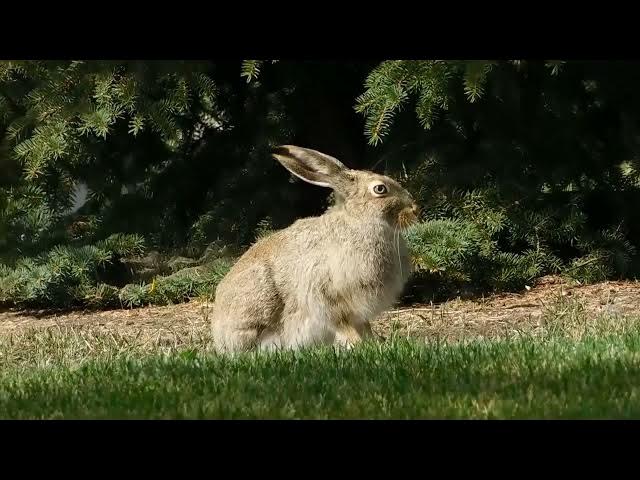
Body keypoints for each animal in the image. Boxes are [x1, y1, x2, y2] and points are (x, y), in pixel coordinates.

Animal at [210, 145, 420, 353]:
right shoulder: (326, 297)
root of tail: (219, 337)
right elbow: (343, 326)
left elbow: (364, 326)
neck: (359, 221)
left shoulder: (358, 313)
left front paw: (372, 342)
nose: (415, 209)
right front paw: (358, 345)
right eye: (380, 189)